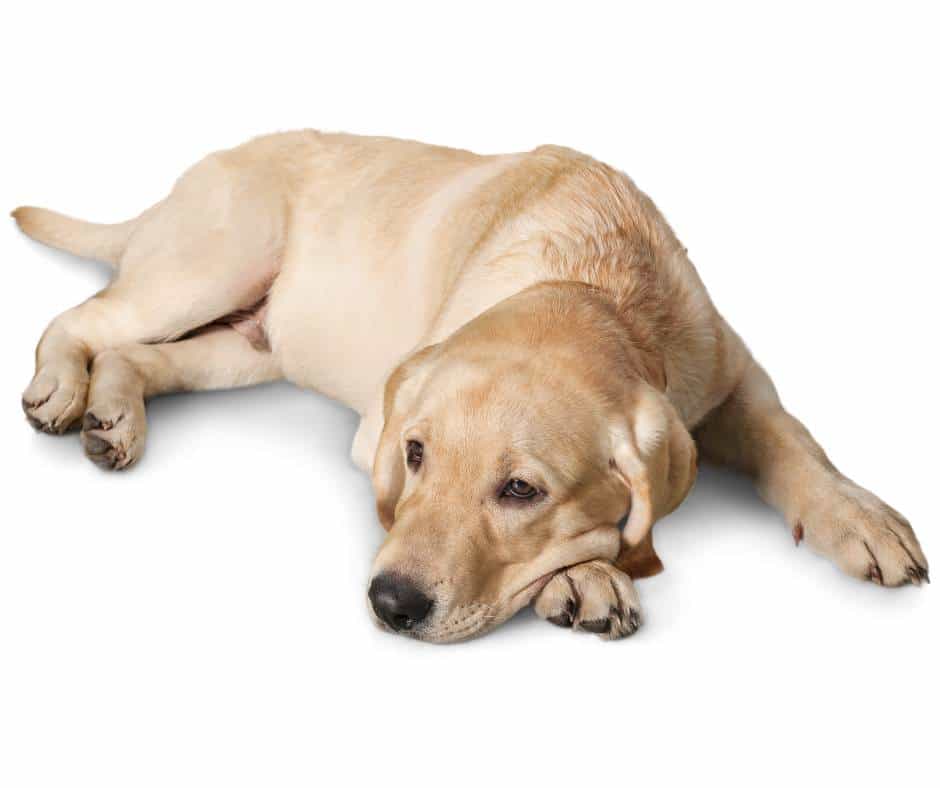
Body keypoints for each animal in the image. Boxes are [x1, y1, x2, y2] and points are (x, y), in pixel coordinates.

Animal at [12, 132, 924, 644]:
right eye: (415, 455)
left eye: (522, 489)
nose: (390, 604)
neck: (592, 279)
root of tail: (190, 174)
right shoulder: (376, 426)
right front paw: (587, 576)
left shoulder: (736, 375)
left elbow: (793, 440)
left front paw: (860, 517)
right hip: (216, 260)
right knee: (81, 319)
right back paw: (60, 388)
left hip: (253, 344)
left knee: (136, 354)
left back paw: (114, 415)